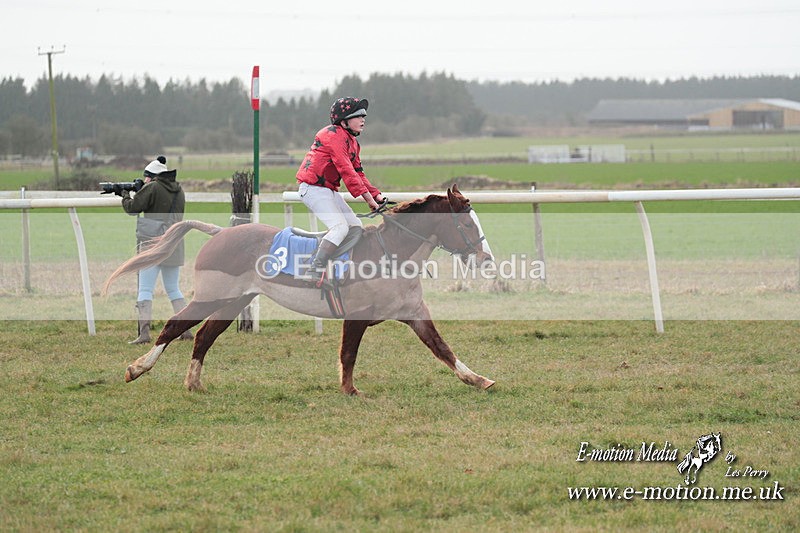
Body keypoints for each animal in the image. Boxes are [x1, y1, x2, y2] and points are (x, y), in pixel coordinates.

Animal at [103, 185, 496, 395]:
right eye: (465, 223)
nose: (486, 258)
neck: (391, 254)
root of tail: (220, 232)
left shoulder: (414, 314)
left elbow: (442, 348)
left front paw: (478, 379)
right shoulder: (356, 317)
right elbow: (348, 354)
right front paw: (350, 390)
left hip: (235, 301)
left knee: (203, 336)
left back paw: (194, 383)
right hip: (214, 296)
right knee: (175, 326)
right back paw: (137, 368)